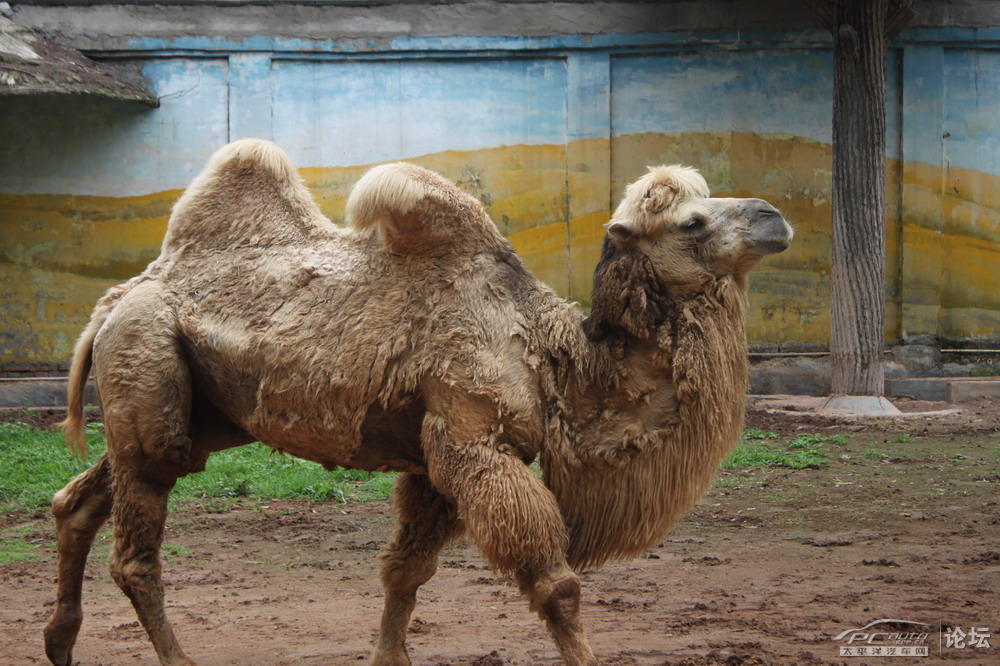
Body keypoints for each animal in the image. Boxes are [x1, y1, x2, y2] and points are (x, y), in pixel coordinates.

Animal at [45, 137, 796, 660]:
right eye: (693, 222)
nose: (774, 216)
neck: (556, 361)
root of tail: (116, 299)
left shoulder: (432, 463)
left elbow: (405, 573)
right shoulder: (475, 441)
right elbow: (557, 582)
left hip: (199, 414)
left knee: (78, 499)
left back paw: (59, 643)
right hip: (148, 366)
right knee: (136, 553)